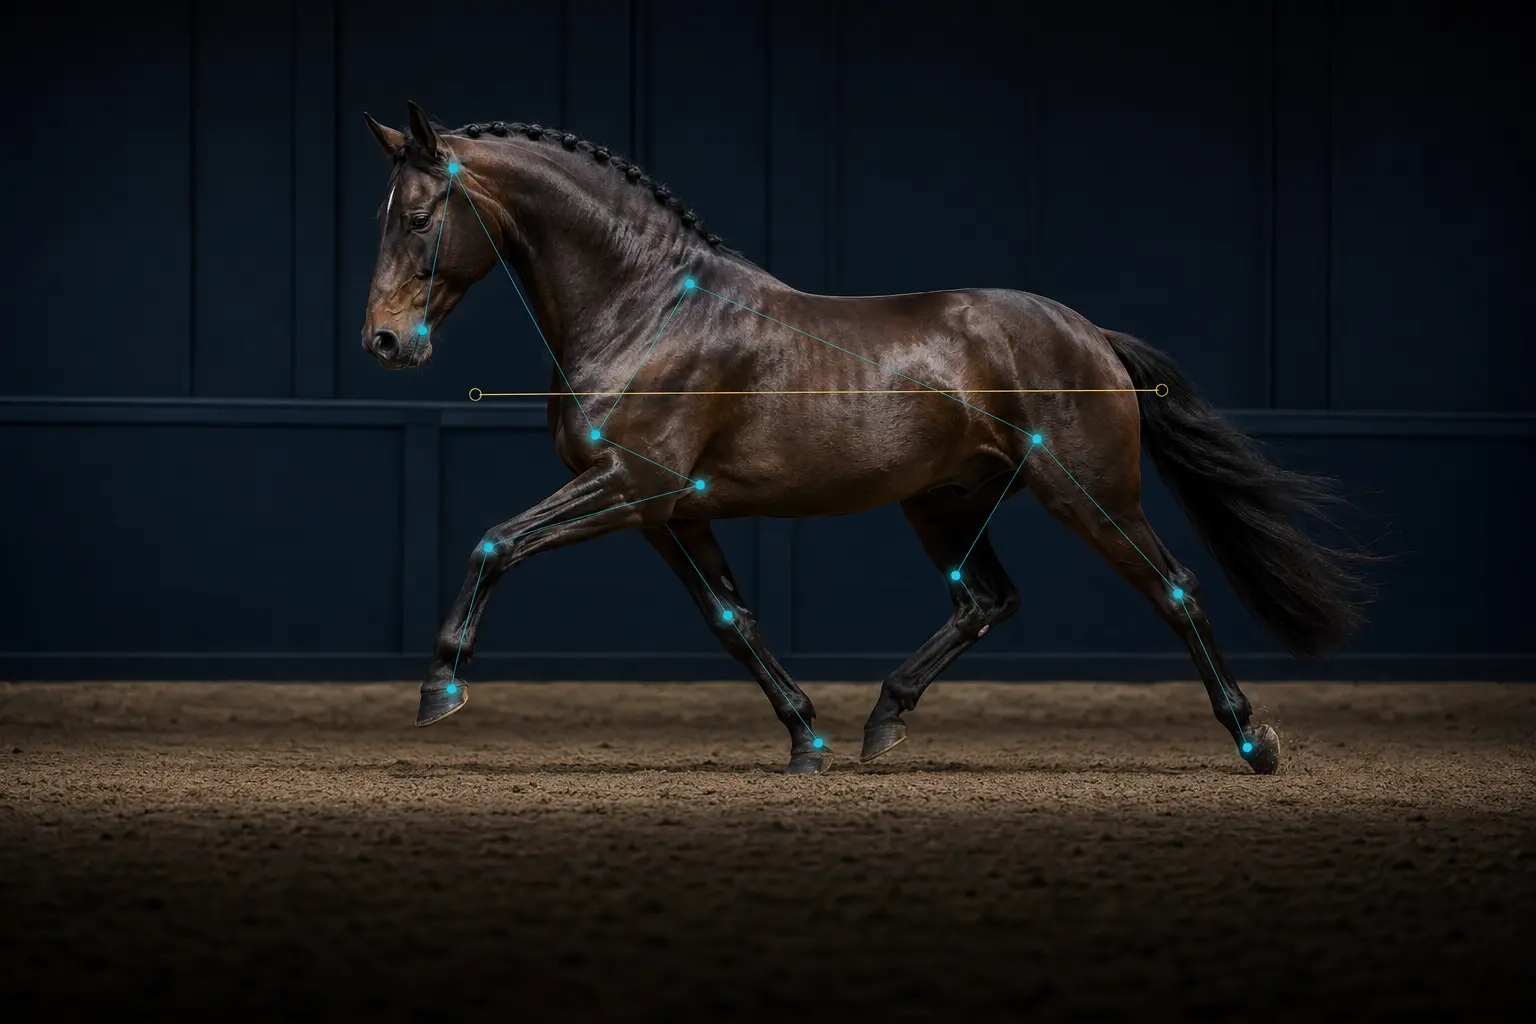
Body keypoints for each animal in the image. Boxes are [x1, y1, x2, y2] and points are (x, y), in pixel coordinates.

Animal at [359, 101, 1371, 777]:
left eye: (418, 216)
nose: (385, 342)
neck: (645, 309)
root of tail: (1088, 333)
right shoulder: (668, 511)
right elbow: (733, 623)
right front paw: (805, 737)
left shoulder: (631, 484)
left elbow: (497, 543)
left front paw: (441, 687)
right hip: (943, 503)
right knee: (986, 601)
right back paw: (884, 721)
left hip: (1090, 494)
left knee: (1174, 589)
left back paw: (1254, 738)